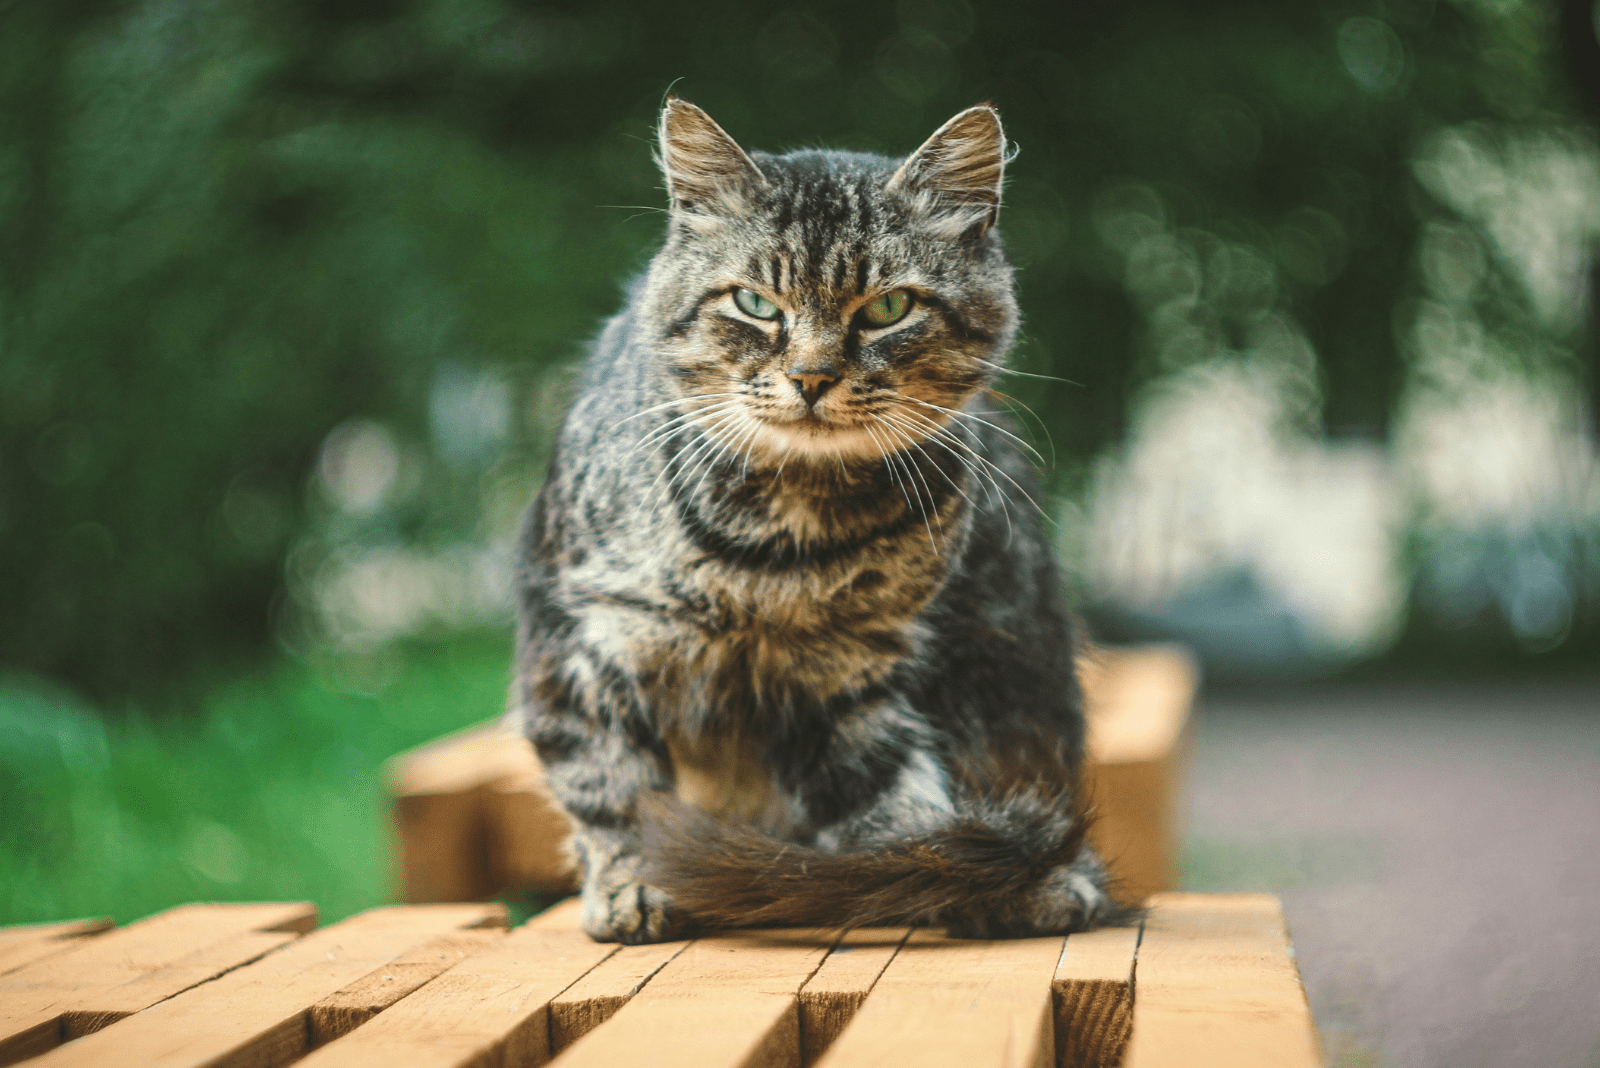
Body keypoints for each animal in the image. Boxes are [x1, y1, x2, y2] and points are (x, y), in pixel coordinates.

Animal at [515, 97, 1126, 940]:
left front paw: (924, 876)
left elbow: (897, 807)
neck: (781, 548)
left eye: (889, 308)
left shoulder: (848, 675)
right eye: (754, 304)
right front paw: (635, 882)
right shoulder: (581, 645)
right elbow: (616, 791)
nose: (810, 376)